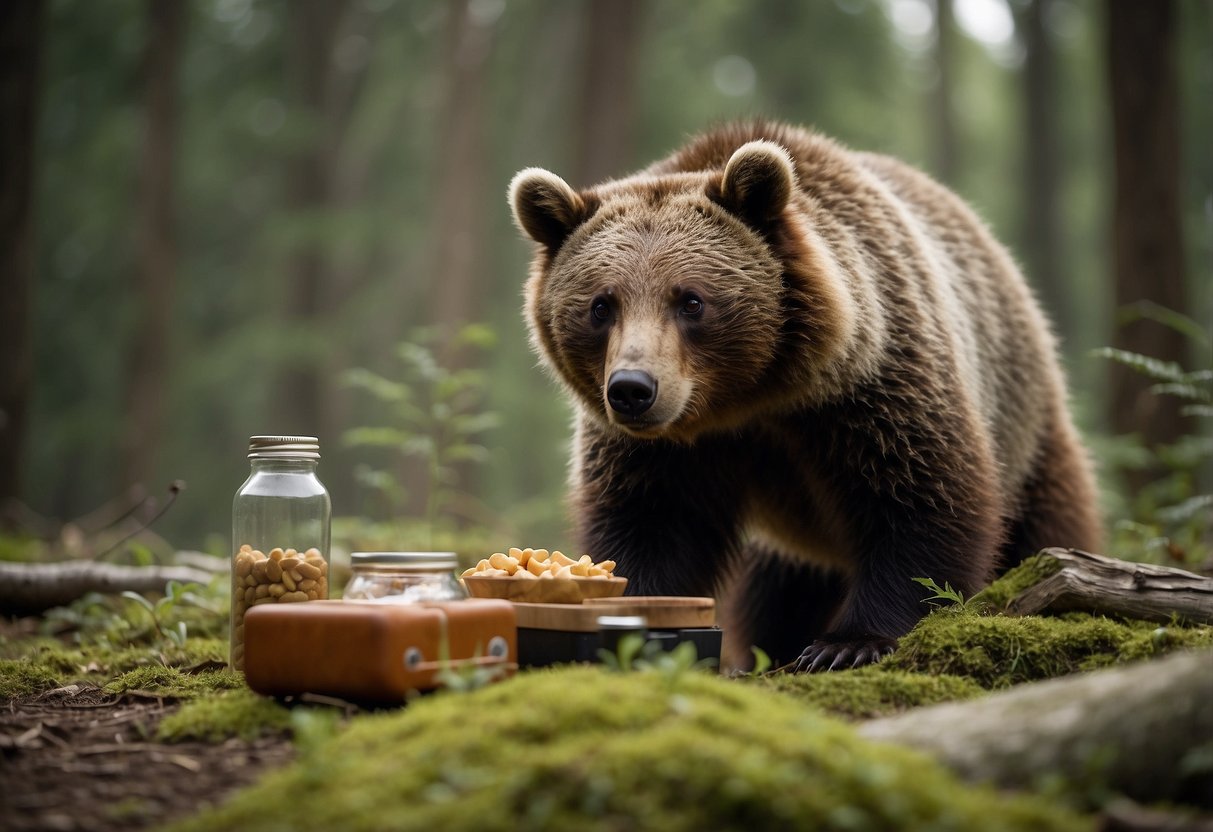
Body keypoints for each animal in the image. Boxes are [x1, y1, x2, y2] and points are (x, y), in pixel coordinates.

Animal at [507, 122, 1106, 669]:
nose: (633, 389)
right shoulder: (664, 450)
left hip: (1025, 421)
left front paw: (847, 644)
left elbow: (923, 501)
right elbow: (647, 521)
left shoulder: (872, 387)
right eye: (600, 306)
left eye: (692, 301)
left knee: (1044, 525)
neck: (753, 399)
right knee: (776, 593)